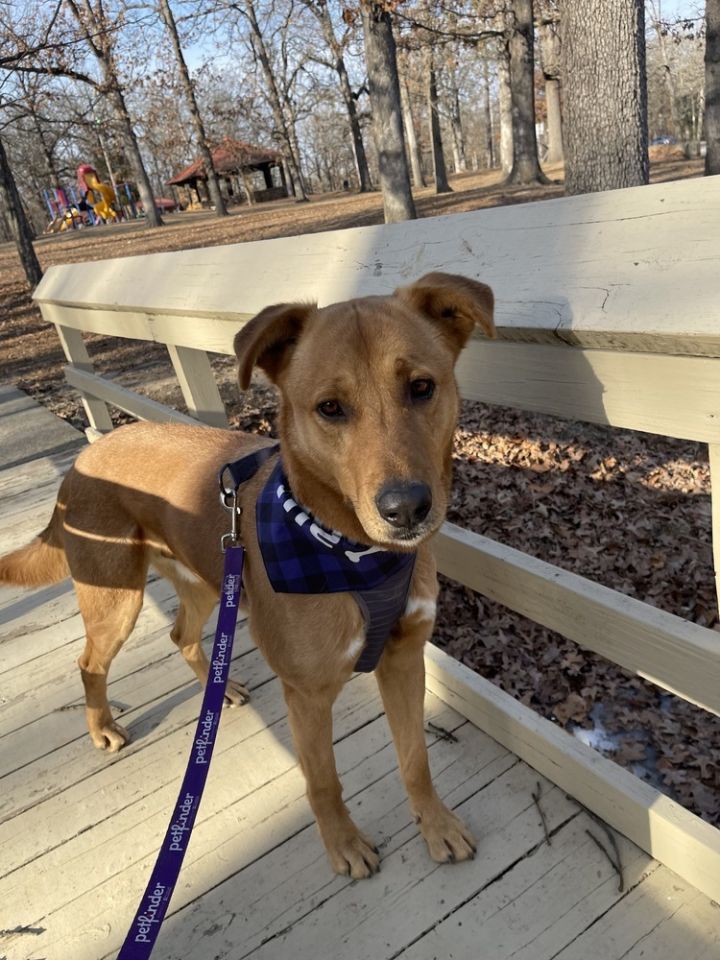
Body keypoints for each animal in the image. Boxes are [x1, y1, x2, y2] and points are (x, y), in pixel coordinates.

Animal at [0, 272, 496, 876]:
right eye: (329, 407)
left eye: (422, 387)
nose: (406, 509)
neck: (353, 555)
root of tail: (82, 461)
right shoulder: (307, 695)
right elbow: (324, 781)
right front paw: (344, 844)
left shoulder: (403, 660)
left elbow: (415, 758)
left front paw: (436, 825)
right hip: (115, 600)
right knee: (90, 663)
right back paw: (103, 728)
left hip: (206, 582)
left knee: (181, 634)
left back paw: (220, 687)